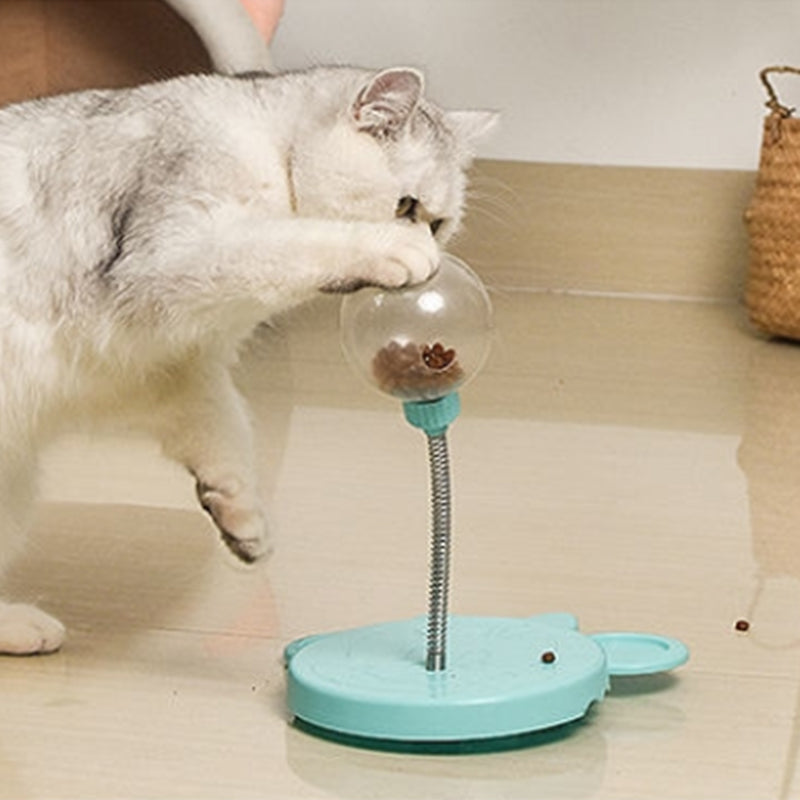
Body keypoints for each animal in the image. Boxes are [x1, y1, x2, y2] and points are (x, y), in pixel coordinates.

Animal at [0, 65, 494, 656]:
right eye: (405, 209)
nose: (435, 253)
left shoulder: (171, 369)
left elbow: (226, 432)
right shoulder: (175, 257)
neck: (269, 149)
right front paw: (385, 248)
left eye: (438, 223)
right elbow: (293, 241)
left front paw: (242, 518)